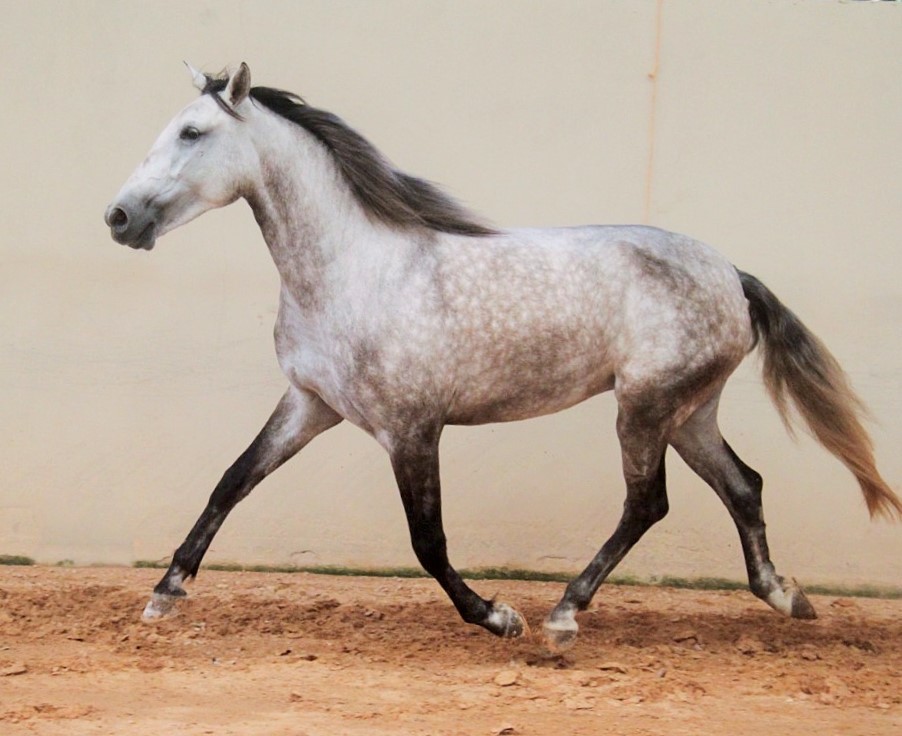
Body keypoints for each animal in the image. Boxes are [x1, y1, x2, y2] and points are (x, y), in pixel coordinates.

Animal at [104, 63, 900, 651]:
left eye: (193, 131)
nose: (119, 217)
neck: (353, 269)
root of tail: (732, 275)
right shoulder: (310, 405)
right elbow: (231, 483)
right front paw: (165, 594)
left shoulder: (411, 429)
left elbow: (427, 540)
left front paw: (498, 616)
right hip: (688, 412)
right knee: (744, 487)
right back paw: (786, 596)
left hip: (644, 409)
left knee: (649, 502)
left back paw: (563, 614)